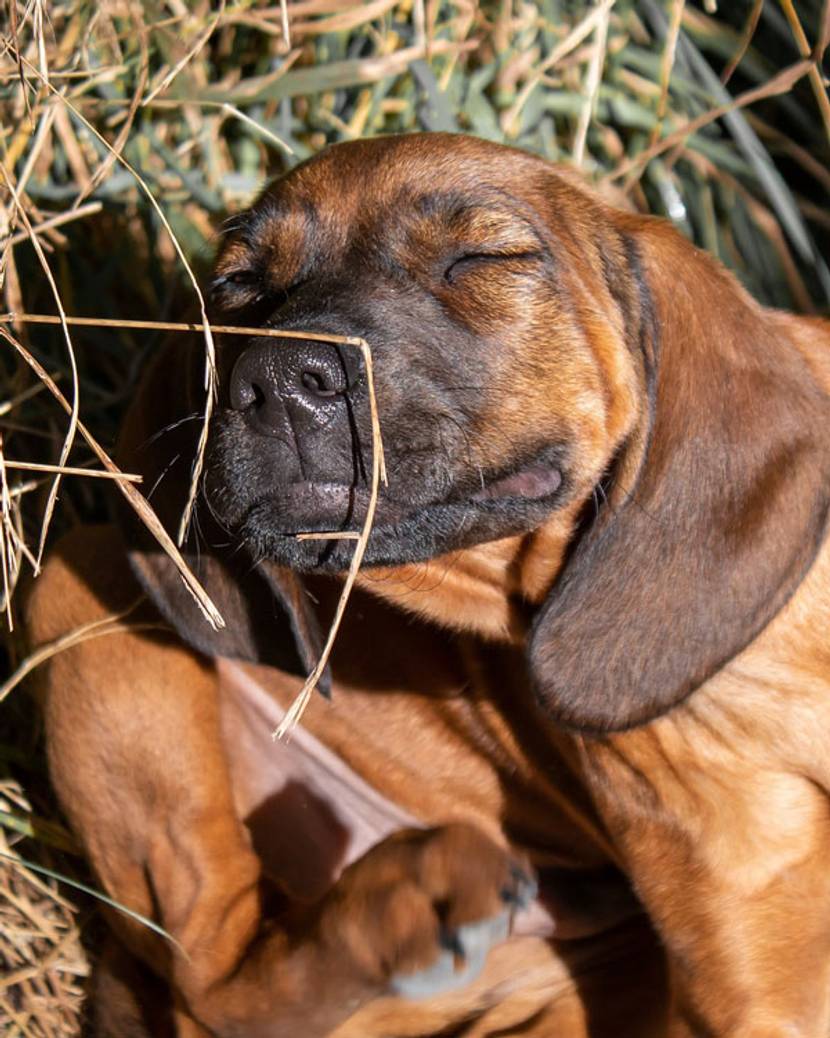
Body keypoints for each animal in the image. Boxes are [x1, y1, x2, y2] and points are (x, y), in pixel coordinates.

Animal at [25, 131, 830, 1038]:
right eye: (239, 284)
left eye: (483, 258)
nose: (282, 379)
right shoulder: (760, 988)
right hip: (78, 582)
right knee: (213, 987)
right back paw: (407, 897)